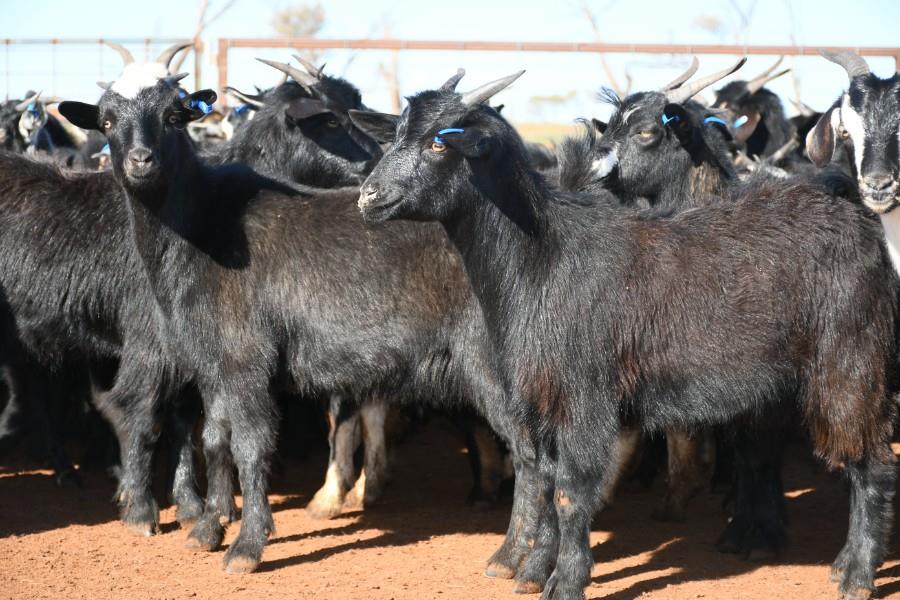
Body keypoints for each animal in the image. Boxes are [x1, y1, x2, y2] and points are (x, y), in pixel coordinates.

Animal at [356, 71, 899, 600]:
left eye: (440, 143)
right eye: (397, 133)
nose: (368, 196)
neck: (542, 254)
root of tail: (856, 215)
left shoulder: (583, 397)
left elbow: (570, 493)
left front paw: (565, 582)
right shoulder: (545, 400)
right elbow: (548, 483)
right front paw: (532, 571)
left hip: (851, 363)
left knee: (872, 465)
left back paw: (856, 577)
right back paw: (841, 564)